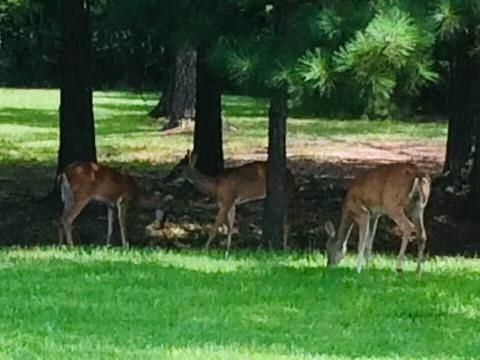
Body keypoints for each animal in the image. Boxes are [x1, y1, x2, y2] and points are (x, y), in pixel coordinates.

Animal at [165, 150, 296, 258]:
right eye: (176, 166)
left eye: (179, 169)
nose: (167, 178)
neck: (215, 186)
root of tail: (292, 175)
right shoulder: (231, 203)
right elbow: (230, 227)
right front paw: (227, 251)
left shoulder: (227, 200)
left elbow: (214, 227)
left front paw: (204, 249)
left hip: (286, 192)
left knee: (287, 221)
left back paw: (285, 248)